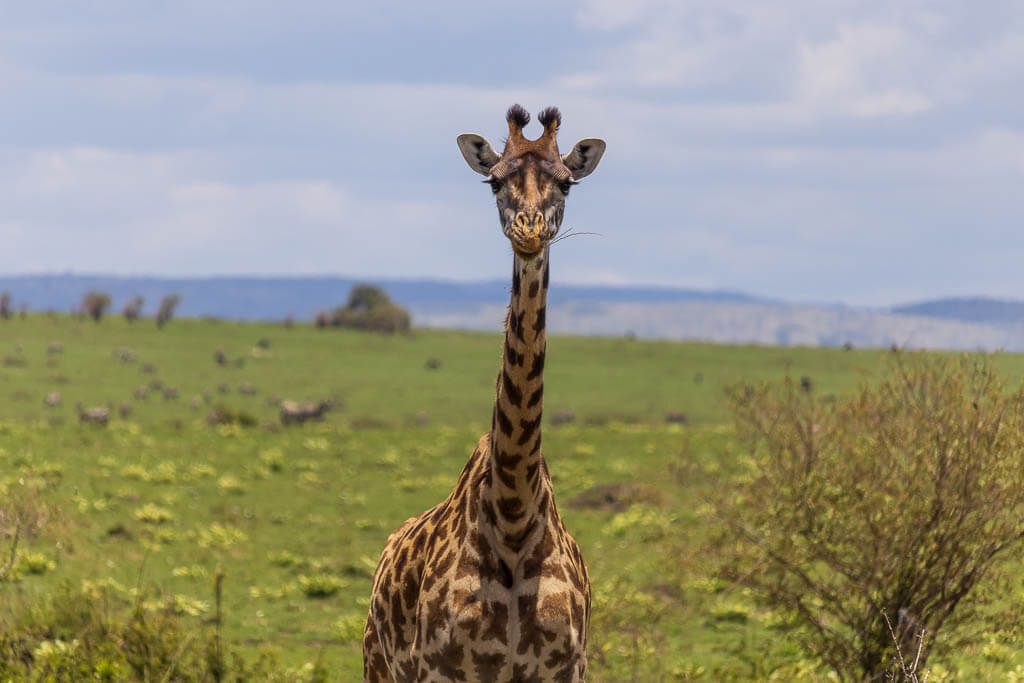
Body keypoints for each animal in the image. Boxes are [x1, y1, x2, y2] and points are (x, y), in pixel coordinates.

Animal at [363, 105, 605, 682]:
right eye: (494, 181)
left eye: (567, 182)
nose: (529, 231)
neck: (514, 516)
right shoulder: (443, 669)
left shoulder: (567, 668)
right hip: (376, 663)